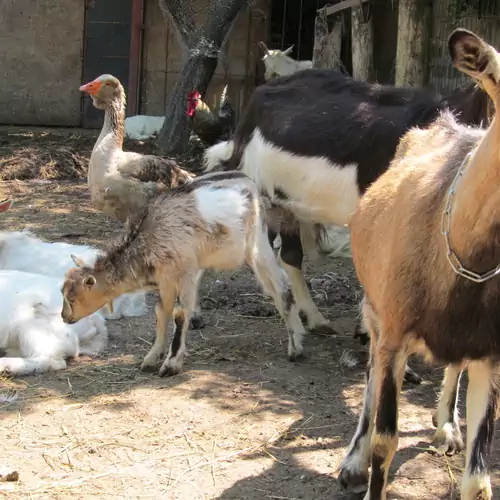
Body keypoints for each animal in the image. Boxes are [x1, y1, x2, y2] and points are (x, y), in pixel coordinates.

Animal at [61, 171, 306, 376]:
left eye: (72, 298)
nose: (64, 317)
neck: (149, 237)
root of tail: (249, 182)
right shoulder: (166, 278)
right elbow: (161, 311)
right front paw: (152, 358)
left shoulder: (185, 272)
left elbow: (179, 313)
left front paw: (171, 364)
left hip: (257, 244)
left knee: (282, 288)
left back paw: (296, 348)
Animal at [338, 28, 500, 500]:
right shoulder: (394, 329)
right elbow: (384, 441)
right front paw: (363, 465)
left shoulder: (490, 350)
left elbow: (478, 480)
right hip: (375, 306)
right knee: (371, 372)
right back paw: (351, 462)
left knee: (453, 365)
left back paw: (445, 425)